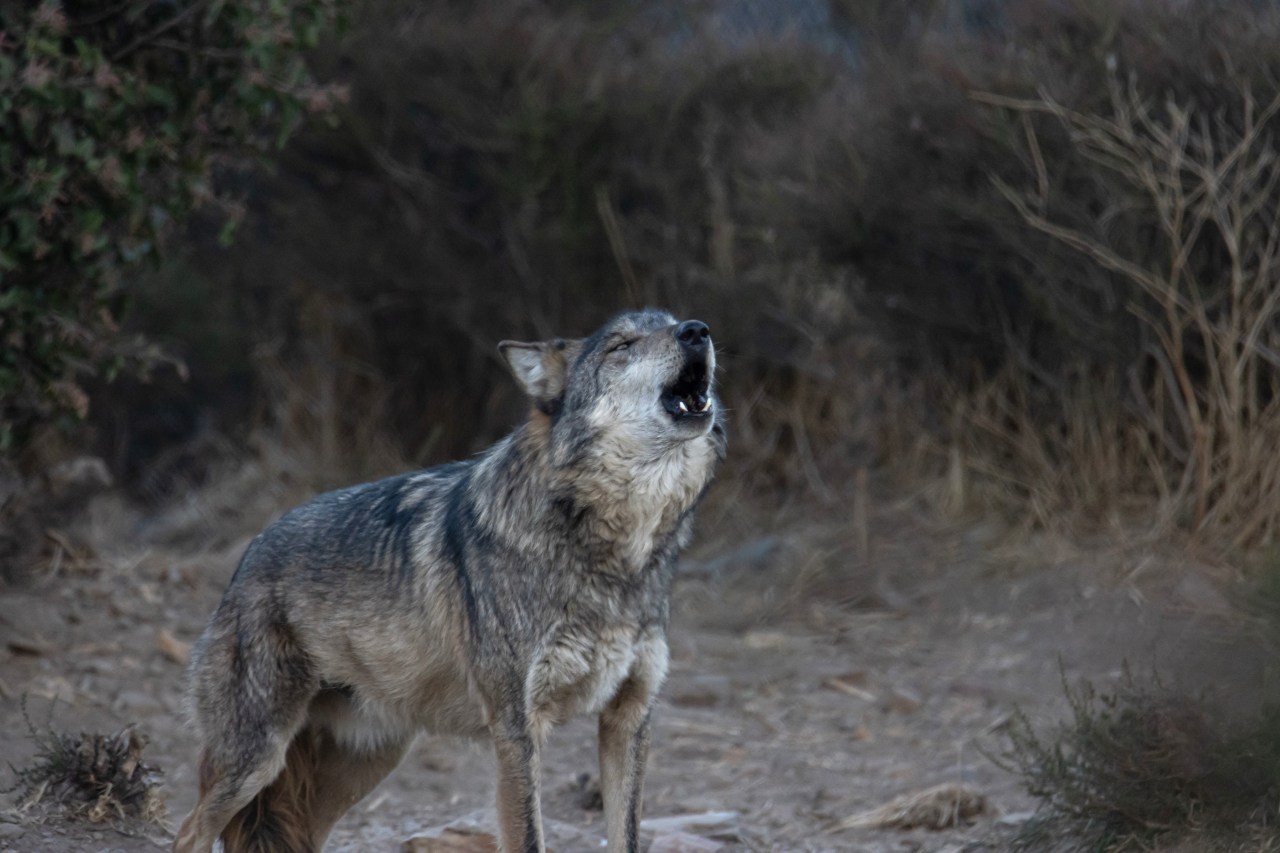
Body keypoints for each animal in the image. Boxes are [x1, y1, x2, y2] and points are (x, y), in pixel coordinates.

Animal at [173, 309, 726, 853]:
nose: (697, 331)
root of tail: (248, 556)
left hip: (362, 765)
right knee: (189, 831)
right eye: (622, 346)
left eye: (672, 320)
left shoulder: (628, 719)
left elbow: (627, 834)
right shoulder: (516, 728)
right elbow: (529, 836)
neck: (616, 549)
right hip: (255, 760)